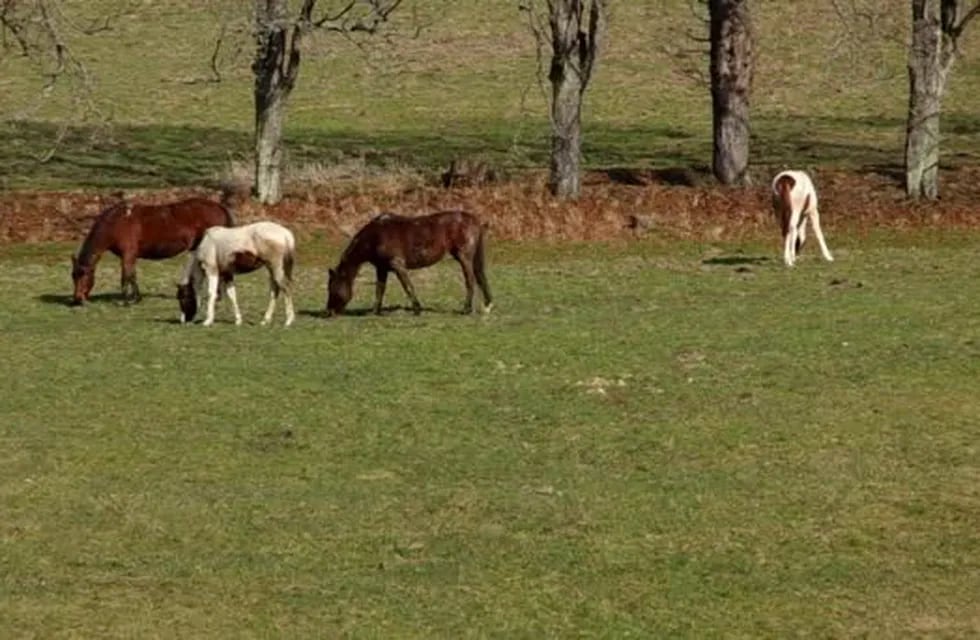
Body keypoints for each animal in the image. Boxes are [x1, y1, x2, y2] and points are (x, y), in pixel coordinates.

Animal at [70, 194, 235, 306]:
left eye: (83, 275)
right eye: (73, 276)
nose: (78, 299)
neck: (117, 222)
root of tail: (218, 207)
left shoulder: (127, 254)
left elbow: (126, 277)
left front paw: (127, 301)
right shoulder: (131, 256)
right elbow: (132, 276)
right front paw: (136, 298)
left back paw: (216, 297)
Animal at [328, 210, 494, 318]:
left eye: (331, 289)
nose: (329, 312)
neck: (375, 237)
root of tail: (474, 220)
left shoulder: (397, 266)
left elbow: (407, 287)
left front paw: (417, 310)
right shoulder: (382, 269)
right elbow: (380, 289)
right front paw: (375, 311)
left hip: (464, 257)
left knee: (470, 281)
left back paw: (466, 309)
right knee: (480, 278)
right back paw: (487, 306)